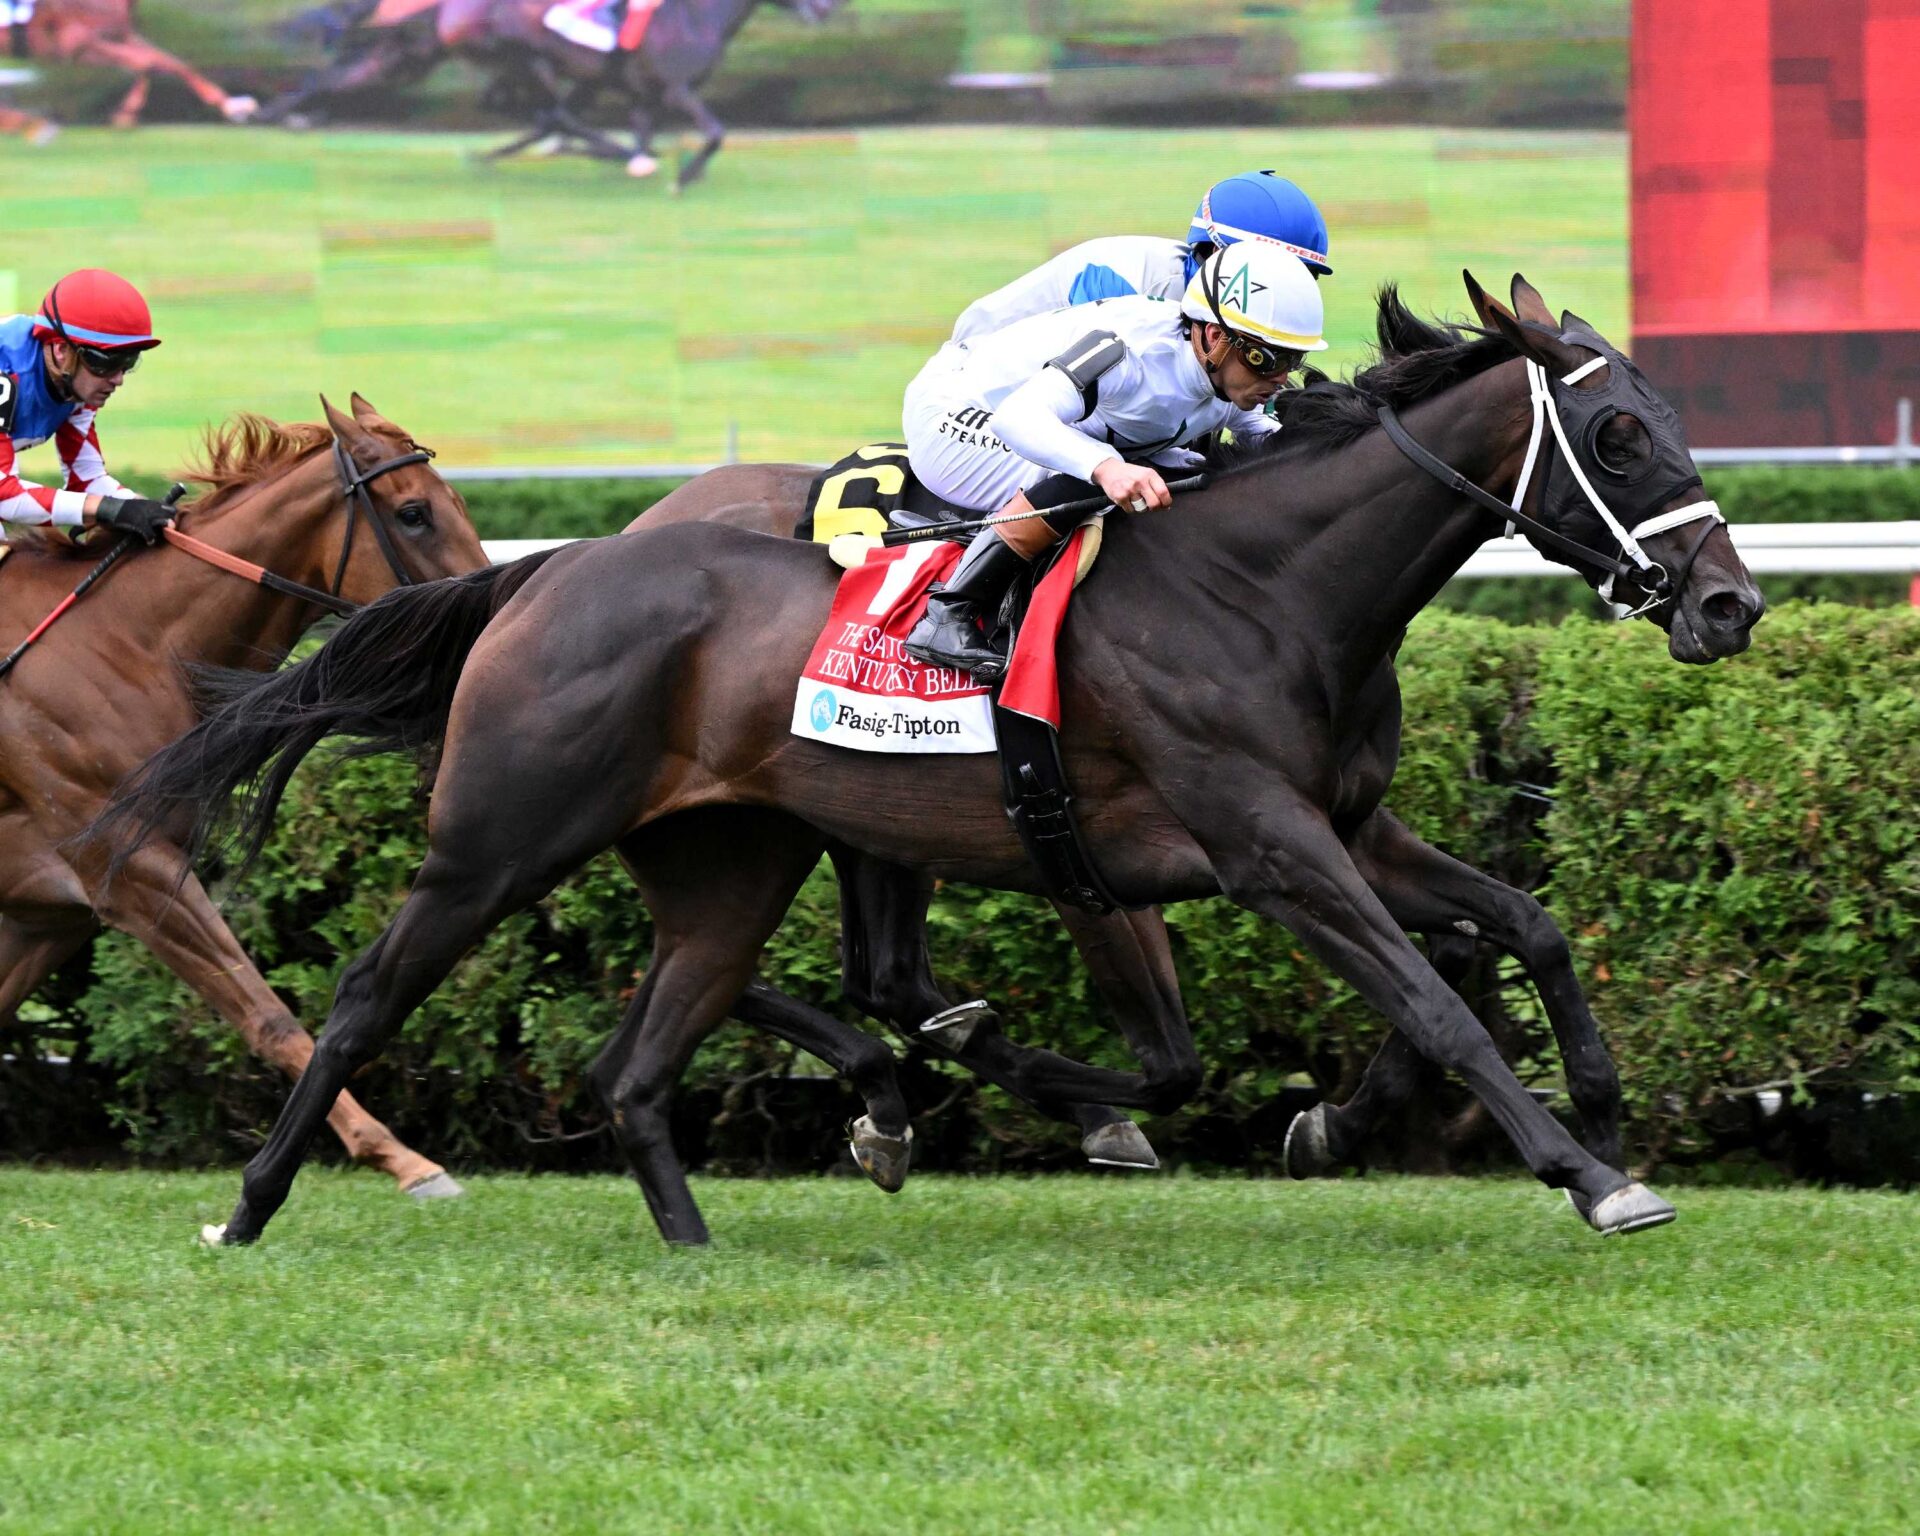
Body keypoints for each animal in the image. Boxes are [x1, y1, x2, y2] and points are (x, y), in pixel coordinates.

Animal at [5, 395, 487, 1195]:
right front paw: (407, 1161)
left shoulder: (50, 910)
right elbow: (268, 1016)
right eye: (414, 513)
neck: (128, 647)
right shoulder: (135, 873)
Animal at [21, 0, 256, 127]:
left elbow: (171, 63)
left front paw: (234, 105)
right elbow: (148, 63)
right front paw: (125, 114)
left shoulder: (120, 36)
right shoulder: (79, 46)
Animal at [111, 275, 1766, 1249]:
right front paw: (1588, 1173)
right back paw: (250, 1207)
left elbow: (1521, 928)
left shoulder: (1346, 829)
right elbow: (1430, 997)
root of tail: (550, 570)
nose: (1728, 605)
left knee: (691, 1026)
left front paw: (1443, 1113)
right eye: (1619, 435)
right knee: (364, 995)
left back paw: (761, 1191)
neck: (1268, 588)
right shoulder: (1261, 847)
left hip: (747, 849)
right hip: (499, 840)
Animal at [435, 0, 845, 189]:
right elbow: (715, 133)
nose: (826, 9)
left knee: (520, 110)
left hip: (525, 71)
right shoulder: (675, 89)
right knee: (555, 116)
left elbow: (646, 133)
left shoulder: (645, 98)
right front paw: (680, 178)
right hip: (533, 64)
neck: (695, 17)